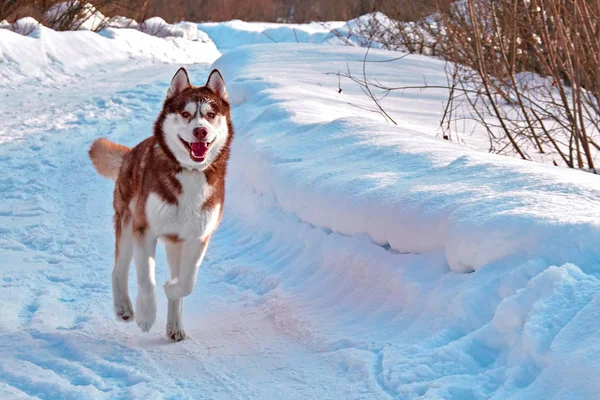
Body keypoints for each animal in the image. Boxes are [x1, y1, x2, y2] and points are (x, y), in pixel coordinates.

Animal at [90, 68, 233, 340]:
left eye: (210, 115)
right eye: (186, 114)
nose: (200, 131)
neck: (189, 172)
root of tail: (131, 153)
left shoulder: (198, 237)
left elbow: (188, 282)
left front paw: (171, 288)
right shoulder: (144, 230)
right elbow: (146, 278)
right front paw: (146, 314)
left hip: (175, 242)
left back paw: (175, 325)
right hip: (127, 222)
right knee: (118, 269)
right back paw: (124, 307)